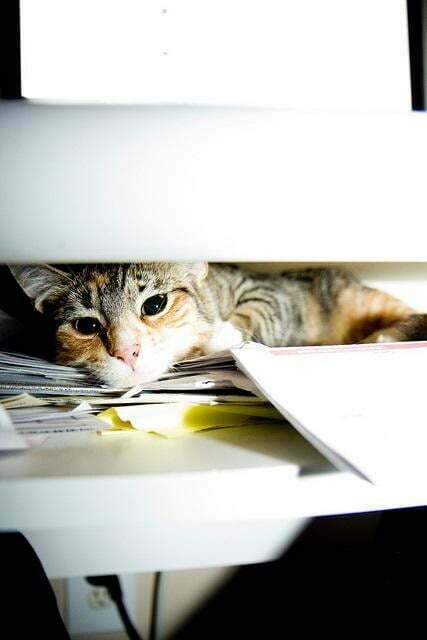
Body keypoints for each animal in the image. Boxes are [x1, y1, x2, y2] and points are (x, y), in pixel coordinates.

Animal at [7, 262, 427, 388]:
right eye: (86, 326)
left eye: (155, 304)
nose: (127, 351)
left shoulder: (264, 290)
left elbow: (261, 308)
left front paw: (222, 332)